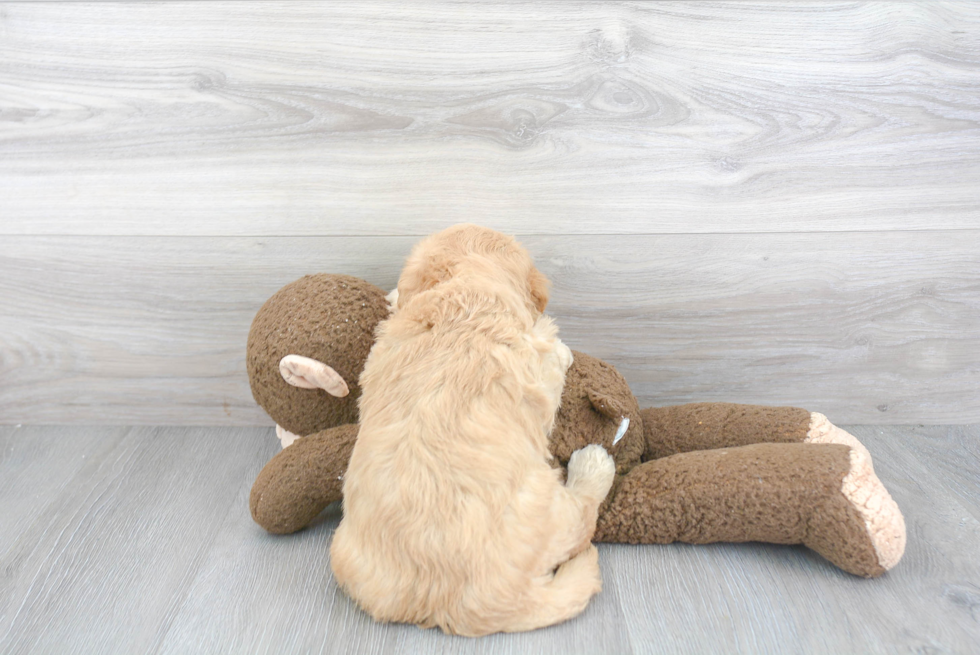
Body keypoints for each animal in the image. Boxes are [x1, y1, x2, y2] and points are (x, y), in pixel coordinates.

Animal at [334, 224, 616, 636]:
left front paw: (395, 295)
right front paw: (560, 345)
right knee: (581, 519)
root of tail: (462, 607)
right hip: (547, 505)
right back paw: (594, 465)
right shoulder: (537, 371)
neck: (467, 288)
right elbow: (551, 357)